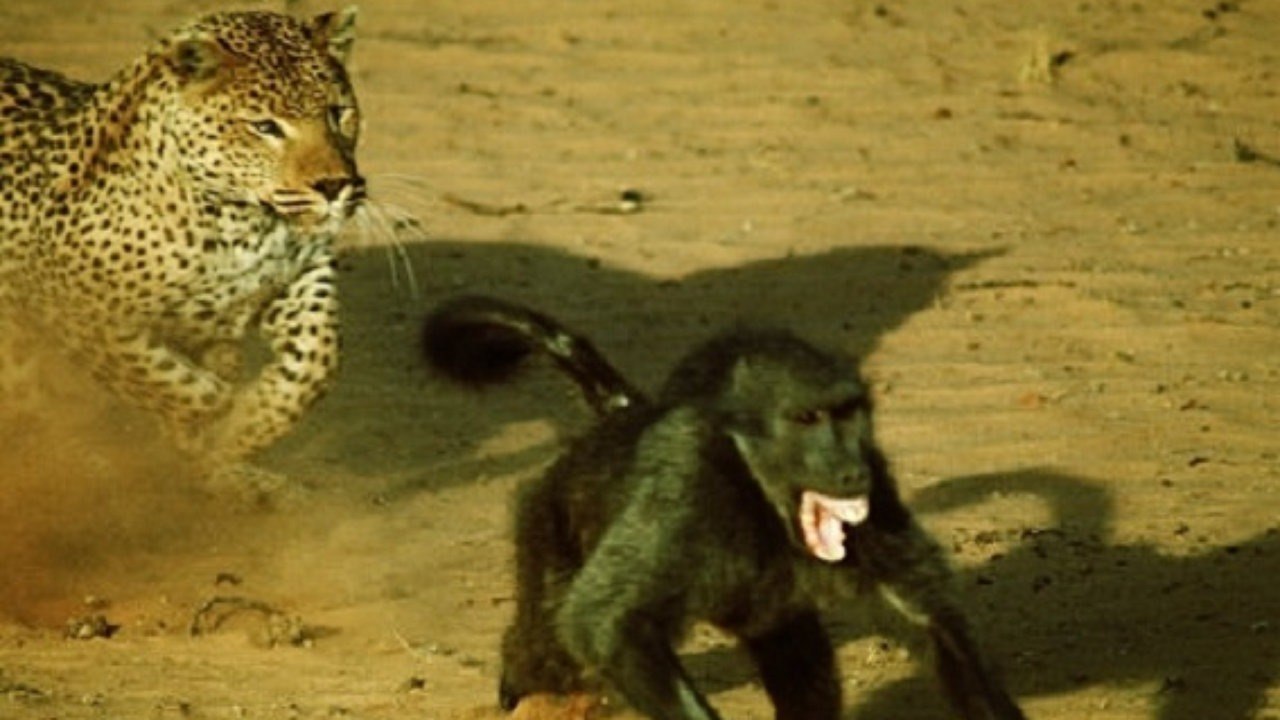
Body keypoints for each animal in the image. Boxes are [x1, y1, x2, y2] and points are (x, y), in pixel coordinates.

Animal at [0, 9, 365, 482]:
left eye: (338, 114)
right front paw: (210, 428)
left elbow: (314, 359)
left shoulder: (302, 274)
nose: (335, 186)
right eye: (264, 127)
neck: (239, 223)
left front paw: (244, 430)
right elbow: (170, 382)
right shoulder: (76, 315)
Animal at [423, 295, 1028, 720]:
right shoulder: (691, 486)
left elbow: (930, 620)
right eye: (808, 418)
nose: (852, 473)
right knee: (544, 647)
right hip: (549, 528)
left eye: (850, 412)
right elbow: (605, 622)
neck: (757, 488)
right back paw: (516, 683)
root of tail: (615, 425)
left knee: (802, 669)